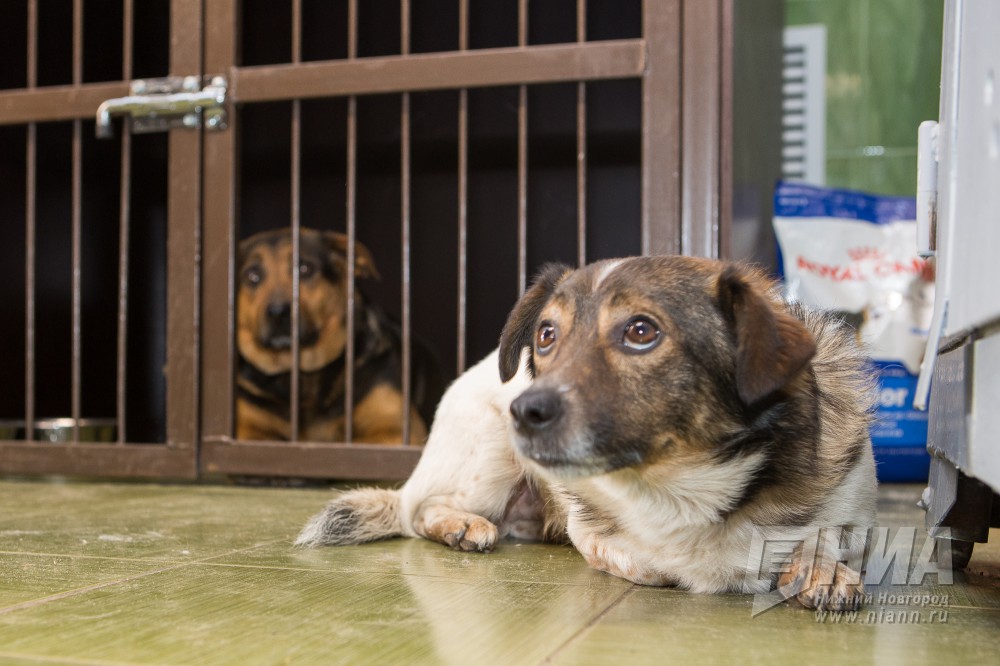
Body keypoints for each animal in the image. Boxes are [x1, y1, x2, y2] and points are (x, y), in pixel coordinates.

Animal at [236, 226, 440, 444]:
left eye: (304, 269)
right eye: (252, 276)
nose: (277, 312)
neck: (301, 376)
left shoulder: (399, 428)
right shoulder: (245, 430)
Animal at [294, 254, 876, 608]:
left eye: (641, 331)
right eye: (546, 335)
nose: (523, 410)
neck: (686, 486)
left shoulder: (854, 500)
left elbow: (832, 535)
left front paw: (821, 567)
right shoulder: (592, 527)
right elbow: (628, 554)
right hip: (488, 456)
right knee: (419, 511)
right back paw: (460, 525)